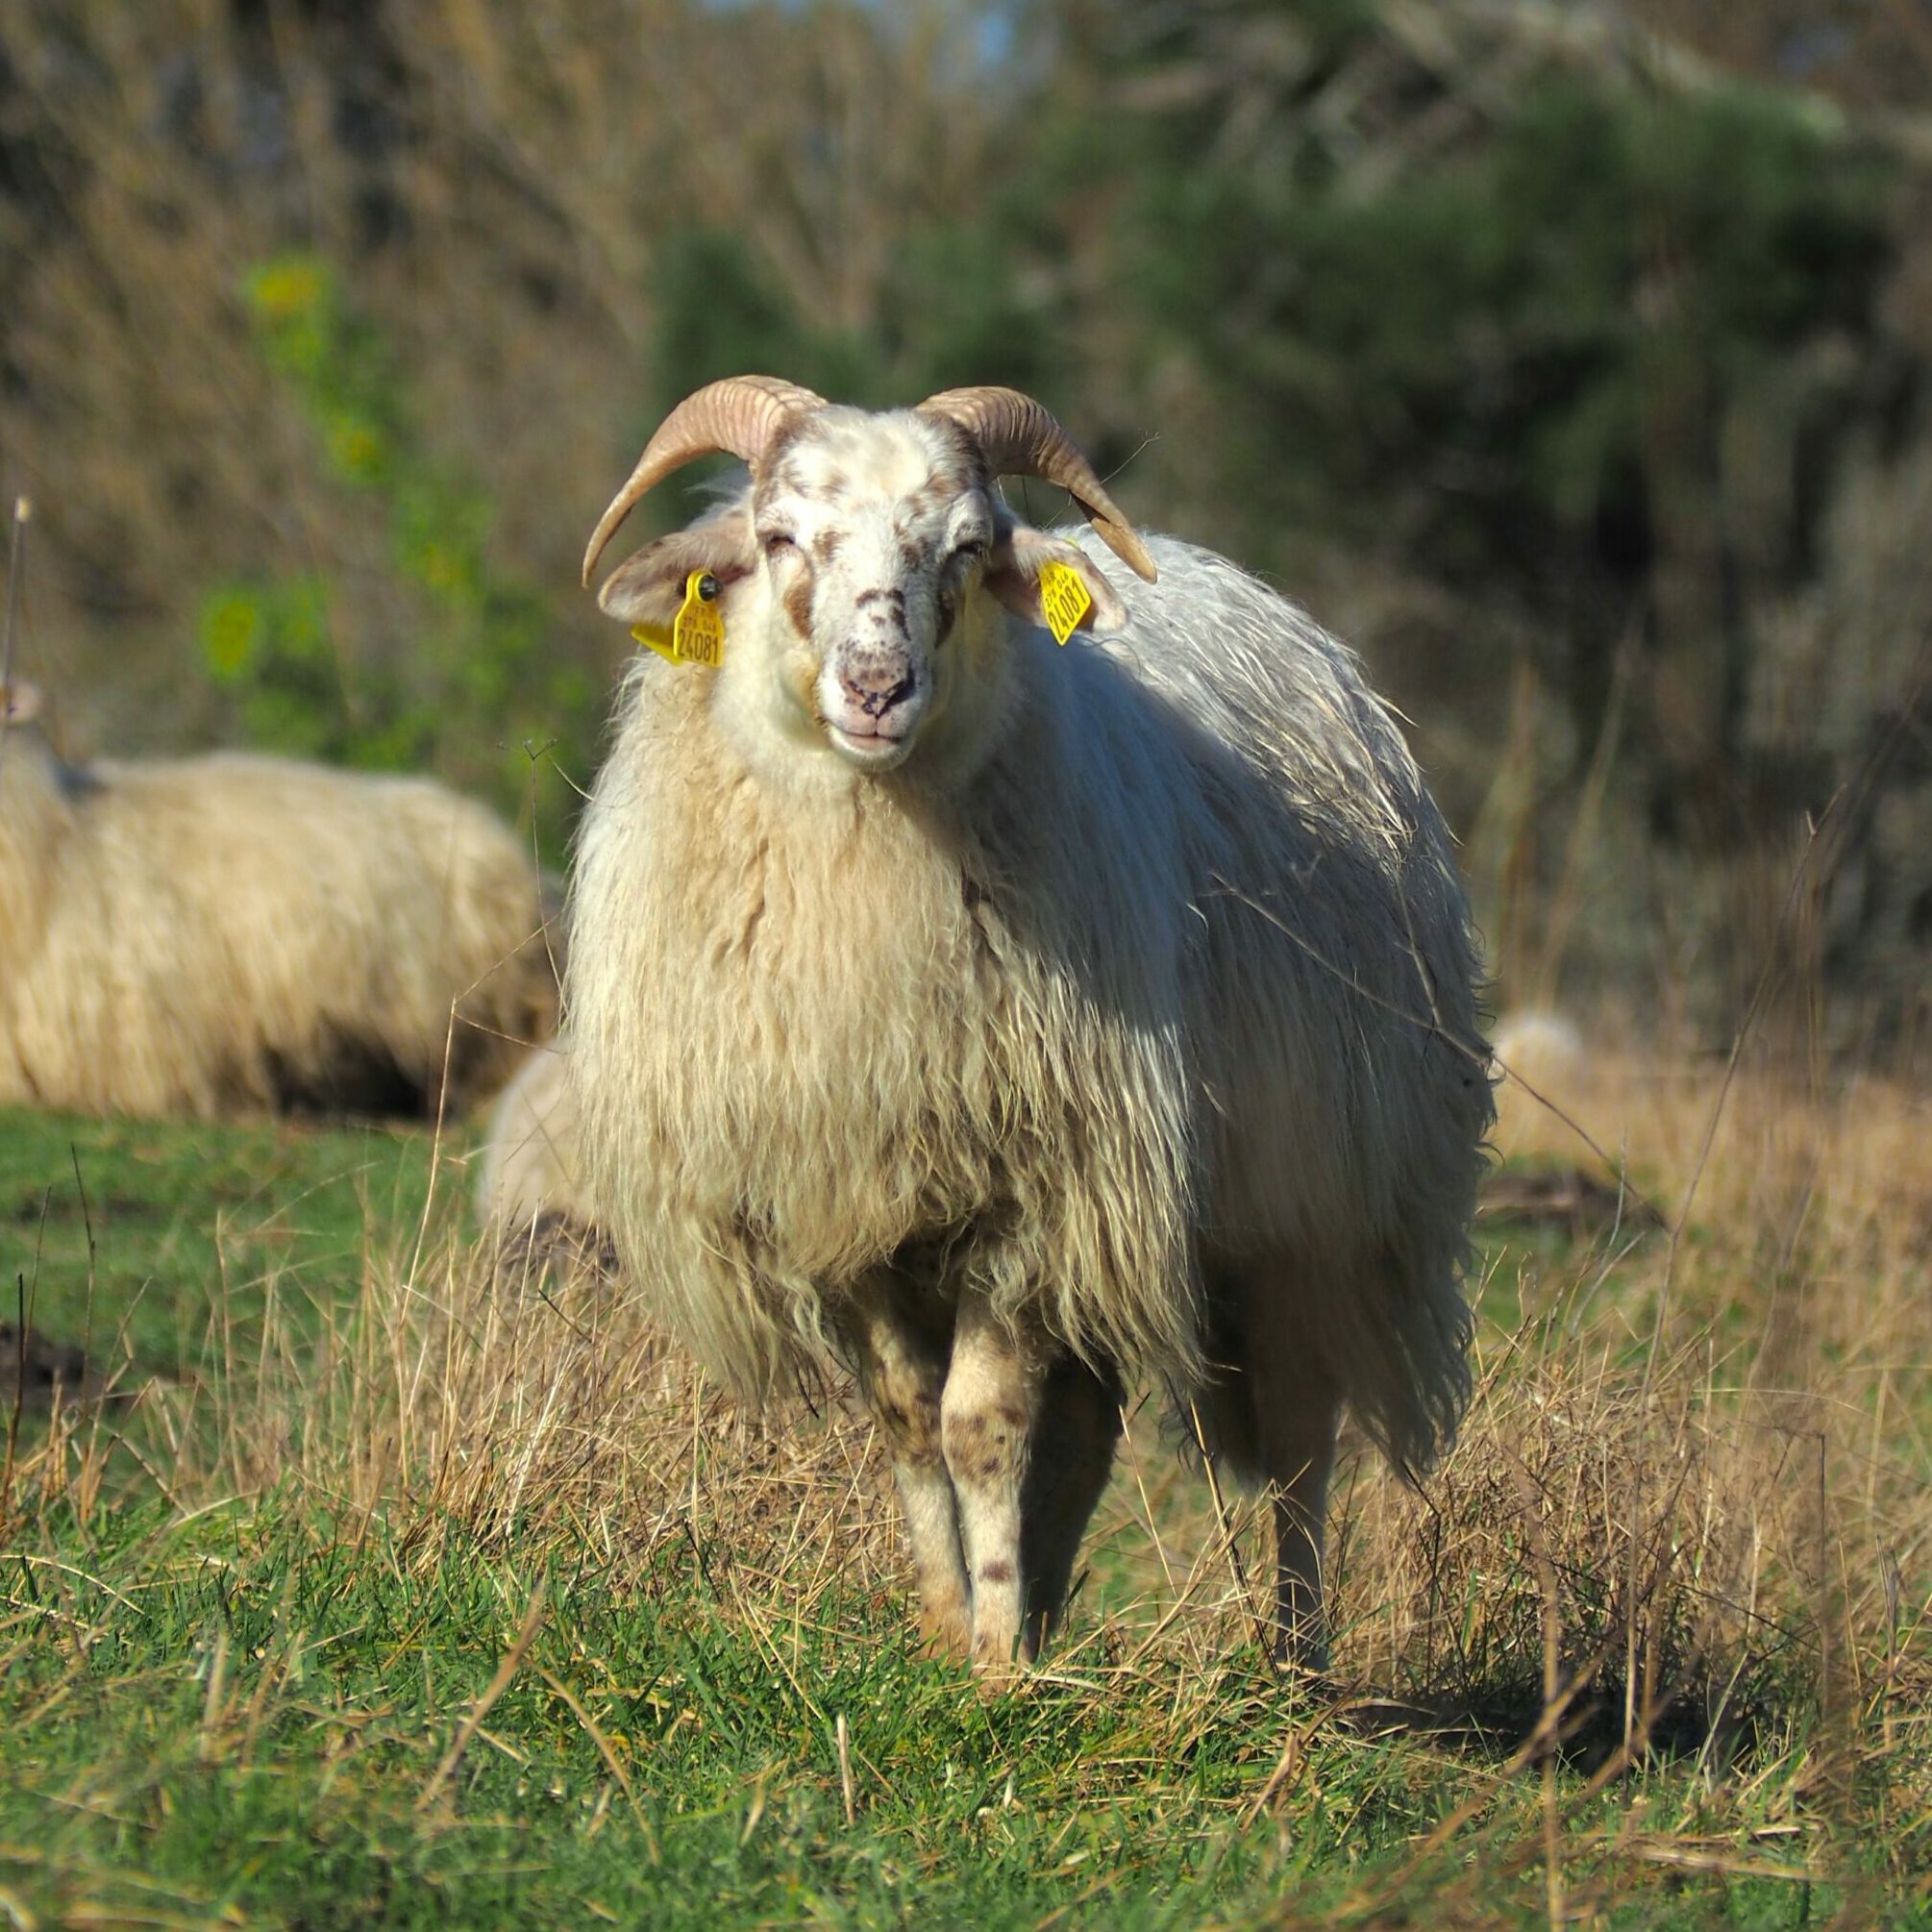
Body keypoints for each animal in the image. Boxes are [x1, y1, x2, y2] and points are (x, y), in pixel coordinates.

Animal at [567, 377, 1493, 1672]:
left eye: (966, 547)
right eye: (779, 537)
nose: (876, 688)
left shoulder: (1033, 1188)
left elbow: (982, 1424)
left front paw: (997, 1661)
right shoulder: (853, 1197)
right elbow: (912, 1422)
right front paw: (951, 1624)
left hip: (1314, 1207)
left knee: (1299, 1441)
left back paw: (1293, 1661)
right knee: (1094, 1428)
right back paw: (1059, 1606)